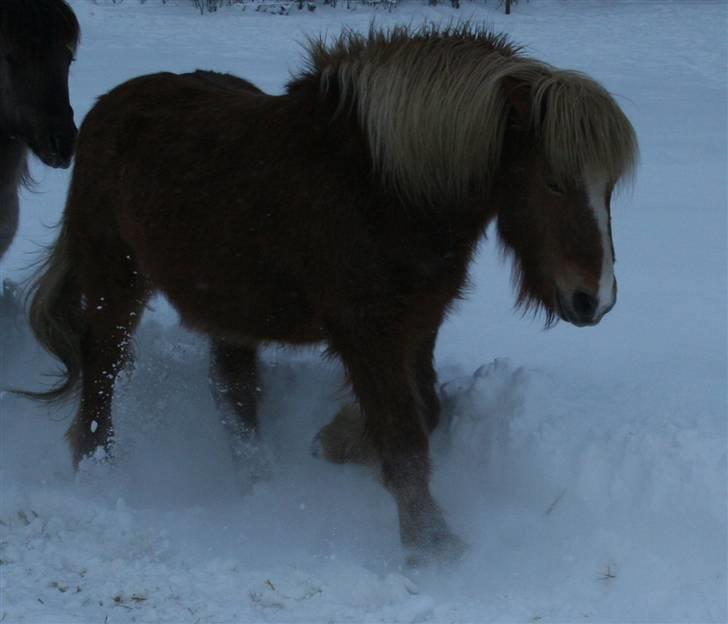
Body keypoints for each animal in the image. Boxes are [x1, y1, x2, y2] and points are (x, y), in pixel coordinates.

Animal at [25, 24, 636, 564]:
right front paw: (431, 547)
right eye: (552, 181)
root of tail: (106, 108)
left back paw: (259, 487)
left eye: (608, 187)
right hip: (116, 283)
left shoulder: (418, 325)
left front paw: (339, 441)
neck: (386, 189)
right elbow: (405, 436)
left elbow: (428, 409)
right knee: (102, 372)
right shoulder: (366, 332)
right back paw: (100, 474)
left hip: (227, 307)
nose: (595, 300)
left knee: (233, 393)